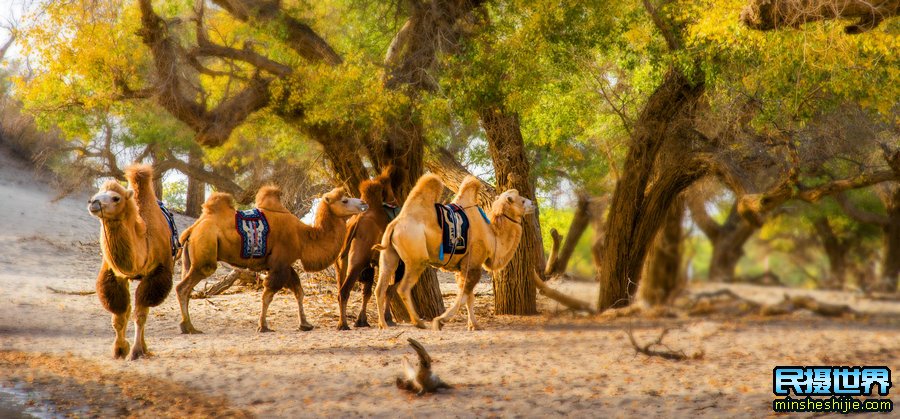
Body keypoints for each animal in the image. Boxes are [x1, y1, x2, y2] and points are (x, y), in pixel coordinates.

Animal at [89, 165, 177, 360]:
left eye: (116, 198)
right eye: (97, 192)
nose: (93, 202)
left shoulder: (157, 273)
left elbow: (141, 314)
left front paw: (136, 351)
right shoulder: (114, 274)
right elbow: (120, 315)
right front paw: (120, 349)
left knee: (142, 310)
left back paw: (143, 348)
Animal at [178, 187, 368, 334]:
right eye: (344, 200)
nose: (363, 204)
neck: (304, 236)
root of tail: (192, 230)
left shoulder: (285, 264)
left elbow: (299, 291)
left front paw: (305, 324)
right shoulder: (280, 263)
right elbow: (268, 295)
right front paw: (263, 326)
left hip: (190, 259)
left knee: (185, 287)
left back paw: (187, 326)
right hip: (205, 253)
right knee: (184, 286)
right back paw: (190, 327)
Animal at [336, 167, 402, 332]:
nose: (394, 202)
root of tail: (354, 223)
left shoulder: (370, 264)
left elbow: (367, 292)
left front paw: (362, 320)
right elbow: (389, 289)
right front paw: (388, 319)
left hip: (341, 262)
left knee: (341, 288)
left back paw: (342, 321)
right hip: (357, 261)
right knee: (344, 291)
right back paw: (343, 324)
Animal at [374, 174, 536, 332]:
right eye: (522, 200)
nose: (534, 204)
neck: (492, 235)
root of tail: (395, 224)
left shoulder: (462, 266)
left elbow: (469, 297)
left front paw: (474, 325)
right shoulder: (473, 263)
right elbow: (464, 296)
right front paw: (440, 321)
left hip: (389, 256)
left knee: (380, 288)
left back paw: (383, 324)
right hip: (417, 259)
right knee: (403, 288)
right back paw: (418, 322)